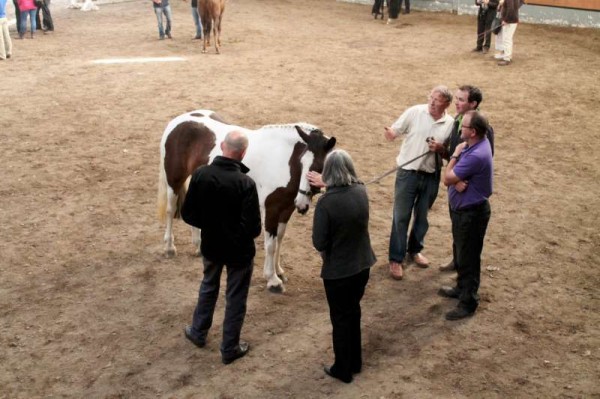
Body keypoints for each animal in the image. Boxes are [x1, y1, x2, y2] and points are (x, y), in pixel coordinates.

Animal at [157, 109, 336, 294]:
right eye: (302, 162)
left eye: (319, 166)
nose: (302, 203)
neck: (281, 160)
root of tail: (179, 120)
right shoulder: (271, 209)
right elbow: (270, 245)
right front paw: (272, 280)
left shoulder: (286, 209)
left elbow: (279, 238)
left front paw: (279, 271)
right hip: (174, 180)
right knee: (170, 209)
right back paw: (169, 248)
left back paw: (199, 246)